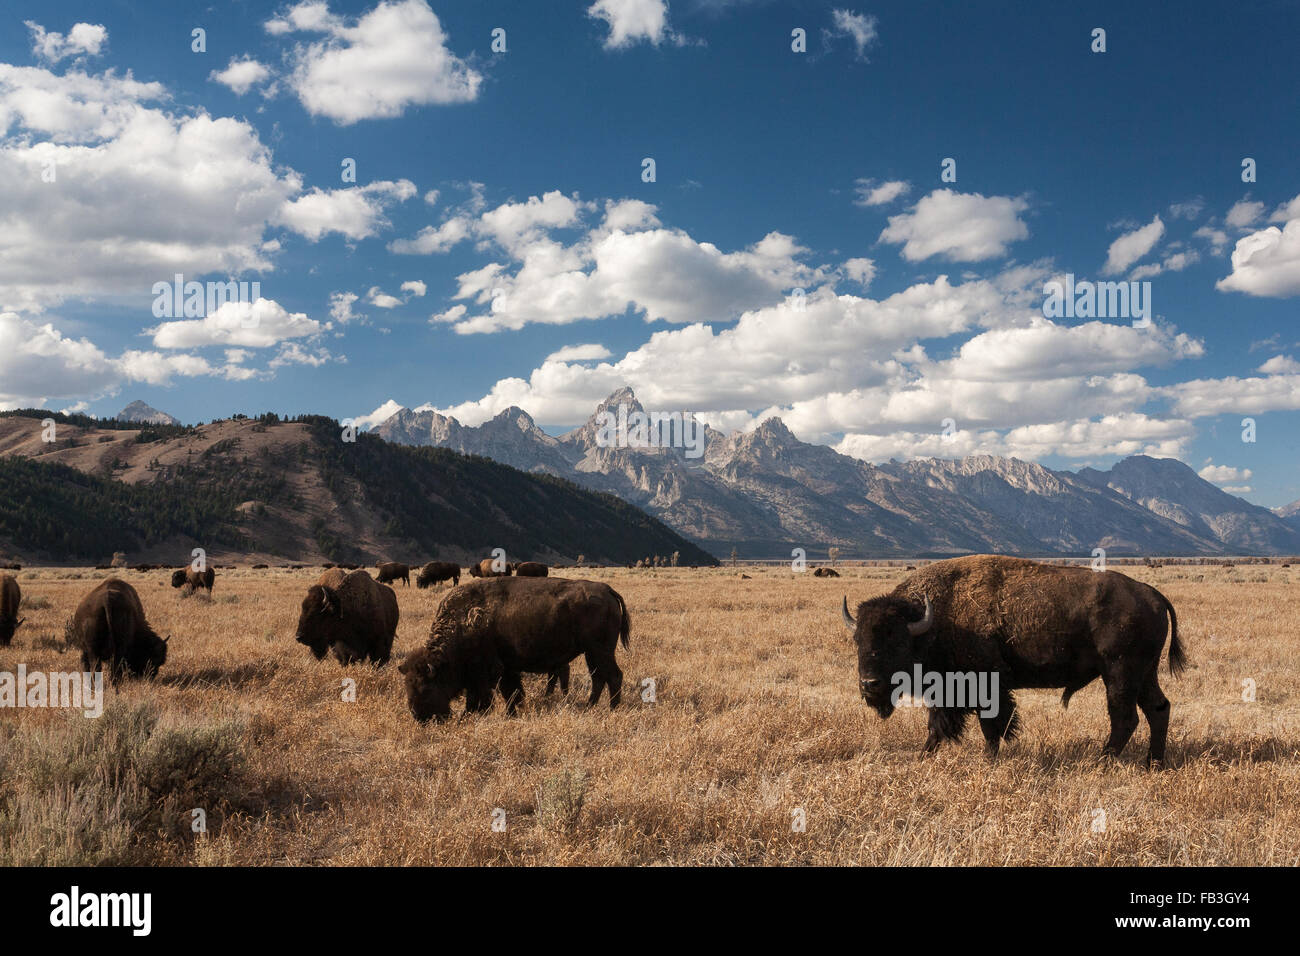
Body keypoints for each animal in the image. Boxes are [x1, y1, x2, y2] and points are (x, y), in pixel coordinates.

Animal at [403, 574, 631, 723]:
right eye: (407, 686)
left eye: (425, 687)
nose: (418, 716)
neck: (464, 621)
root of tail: (607, 590)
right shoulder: (506, 668)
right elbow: (512, 692)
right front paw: (510, 713)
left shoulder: (485, 671)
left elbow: (488, 695)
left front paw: (473, 714)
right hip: (592, 653)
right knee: (598, 677)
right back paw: (590, 706)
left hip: (600, 650)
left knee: (613, 676)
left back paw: (612, 709)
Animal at [842, 556, 1190, 764]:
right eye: (858, 640)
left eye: (898, 642)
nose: (869, 685)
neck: (932, 620)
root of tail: (1153, 594)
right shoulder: (950, 692)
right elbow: (940, 726)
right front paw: (924, 757)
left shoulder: (983, 686)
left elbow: (990, 725)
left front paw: (987, 759)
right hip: (1144, 673)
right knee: (1158, 708)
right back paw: (1153, 763)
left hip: (1119, 672)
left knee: (1124, 717)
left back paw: (1102, 762)